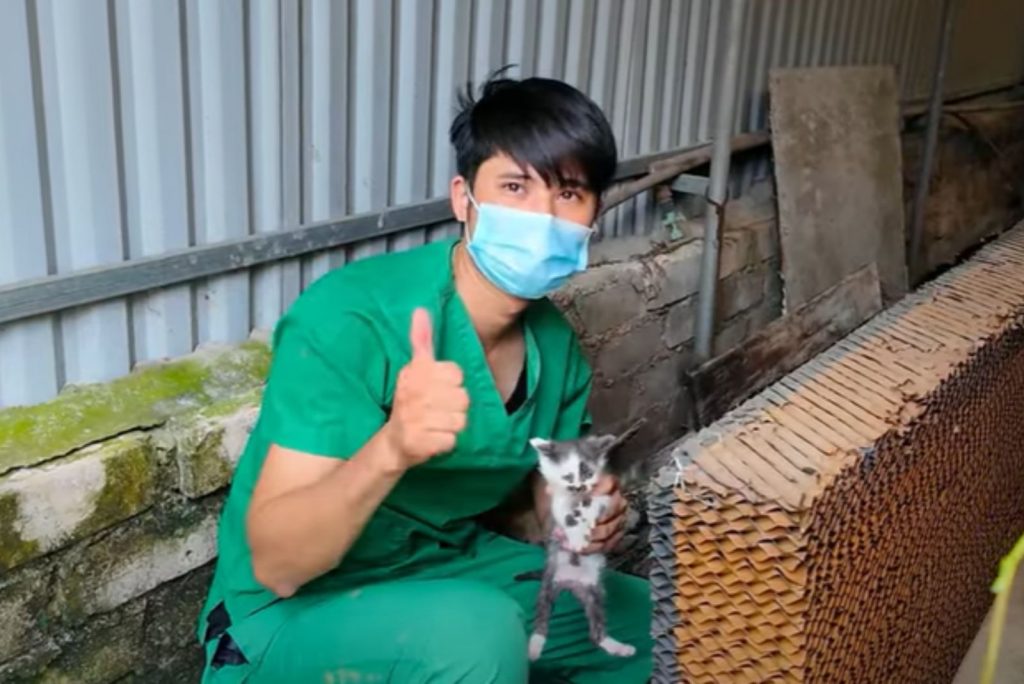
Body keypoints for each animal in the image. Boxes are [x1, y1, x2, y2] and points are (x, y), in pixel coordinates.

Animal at [524, 421, 643, 663]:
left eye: (587, 472)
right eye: (568, 477)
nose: (579, 487)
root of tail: (571, 583)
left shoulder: (605, 497)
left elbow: (595, 504)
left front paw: (585, 519)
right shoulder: (557, 503)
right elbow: (565, 515)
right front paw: (576, 533)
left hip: (594, 592)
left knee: (595, 631)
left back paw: (617, 647)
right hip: (548, 585)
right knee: (542, 614)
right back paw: (534, 647)